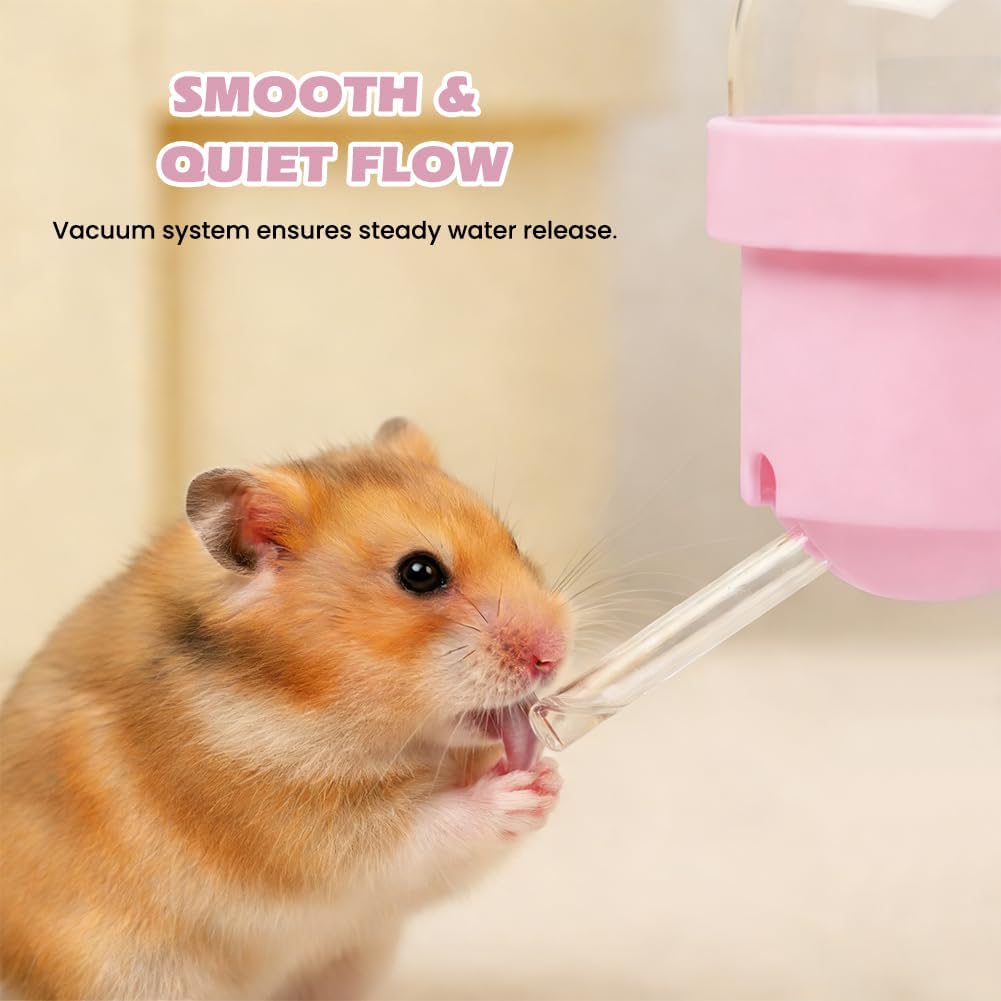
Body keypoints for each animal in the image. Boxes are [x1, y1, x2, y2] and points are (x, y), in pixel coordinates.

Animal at [0, 419, 570, 1000]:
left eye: (512, 540)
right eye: (419, 573)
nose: (555, 653)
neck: (305, 703)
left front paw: (549, 779)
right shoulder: (305, 836)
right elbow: (421, 829)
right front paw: (524, 789)